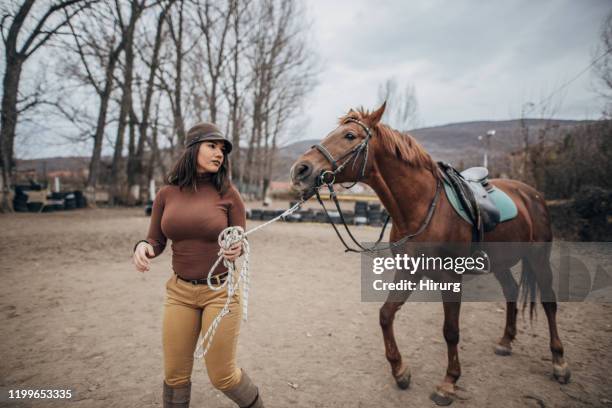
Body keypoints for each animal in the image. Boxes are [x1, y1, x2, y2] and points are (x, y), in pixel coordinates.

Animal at [290, 103, 572, 404]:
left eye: (350, 136)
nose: (301, 169)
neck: (422, 207)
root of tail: (532, 195)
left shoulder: (451, 279)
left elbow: (450, 331)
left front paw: (448, 383)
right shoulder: (408, 271)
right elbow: (386, 314)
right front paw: (400, 371)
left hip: (539, 258)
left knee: (549, 303)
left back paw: (559, 363)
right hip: (501, 263)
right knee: (511, 290)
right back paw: (506, 342)